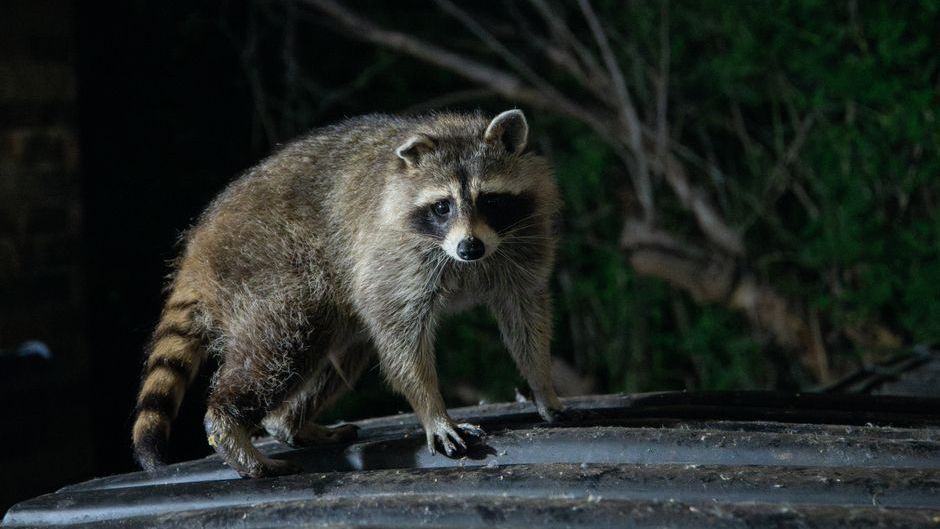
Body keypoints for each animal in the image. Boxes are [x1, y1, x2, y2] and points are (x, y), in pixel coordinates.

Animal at [131, 109, 565, 478]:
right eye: (442, 207)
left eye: (489, 200)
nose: (469, 247)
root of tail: (197, 248)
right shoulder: (391, 252)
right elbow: (399, 332)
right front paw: (432, 410)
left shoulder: (524, 241)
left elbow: (525, 314)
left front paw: (542, 384)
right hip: (266, 265)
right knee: (283, 342)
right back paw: (229, 426)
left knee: (339, 348)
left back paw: (288, 422)